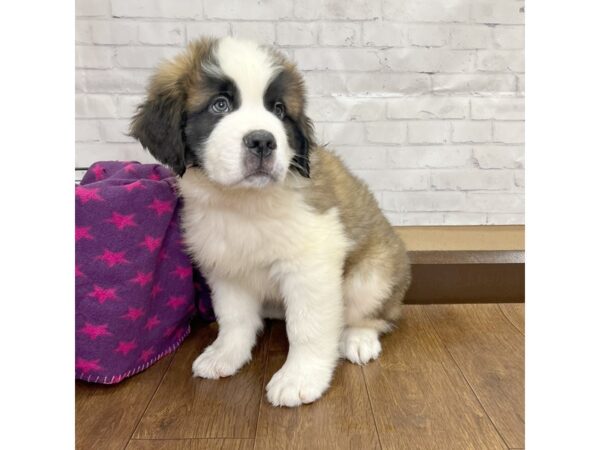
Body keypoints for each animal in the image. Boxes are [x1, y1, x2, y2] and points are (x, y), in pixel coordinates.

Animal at [130, 37, 412, 406]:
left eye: (278, 110)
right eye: (220, 105)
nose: (263, 141)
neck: (244, 202)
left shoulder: (311, 266)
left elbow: (307, 327)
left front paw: (300, 377)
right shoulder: (225, 265)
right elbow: (234, 317)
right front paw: (226, 354)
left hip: (373, 275)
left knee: (373, 314)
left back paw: (358, 338)